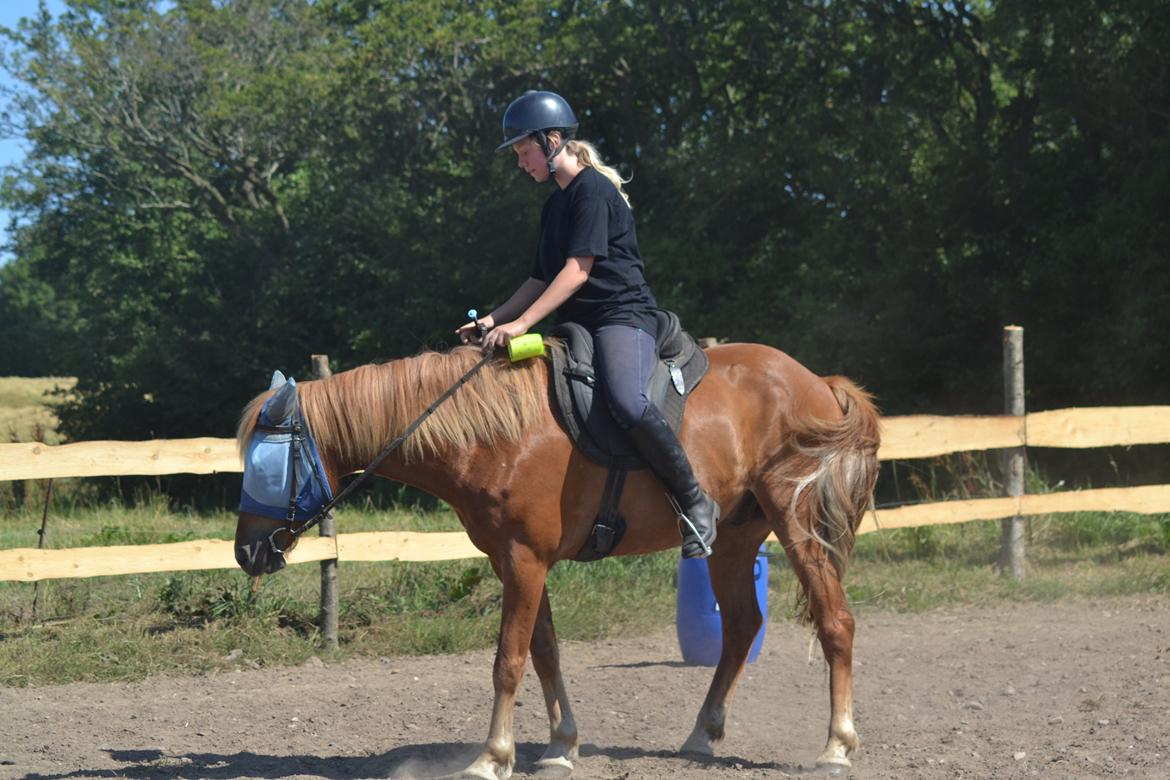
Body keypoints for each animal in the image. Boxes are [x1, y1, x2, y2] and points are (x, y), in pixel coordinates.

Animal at [235, 343, 879, 780]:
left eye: (266, 464)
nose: (246, 551)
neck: (494, 432)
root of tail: (816, 383)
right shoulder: (516, 560)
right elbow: (543, 650)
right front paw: (560, 746)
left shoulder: (525, 558)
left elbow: (508, 660)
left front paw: (492, 756)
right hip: (737, 538)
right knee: (743, 625)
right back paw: (703, 732)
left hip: (797, 524)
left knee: (836, 623)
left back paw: (837, 745)